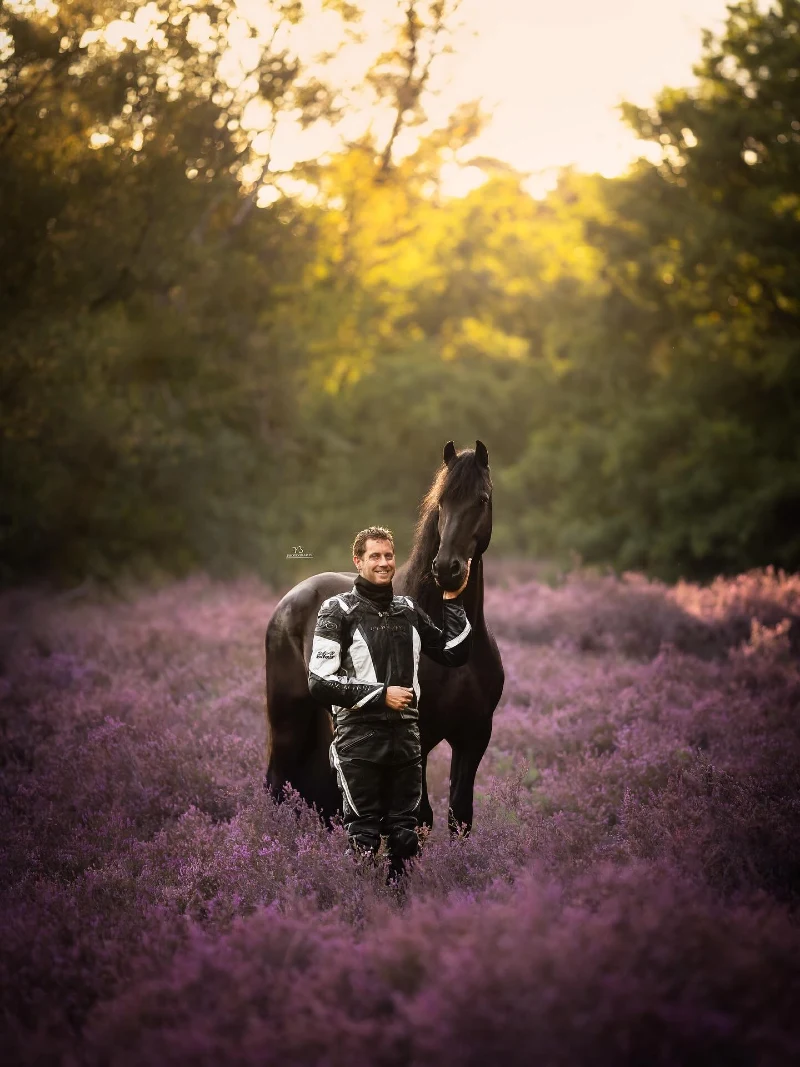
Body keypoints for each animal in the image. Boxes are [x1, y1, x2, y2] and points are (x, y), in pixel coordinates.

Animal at [264, 439, 505, 833]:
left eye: (482, 499)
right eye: (442, 501)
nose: (447, 569)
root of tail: (289, 601)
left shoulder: (473, 738)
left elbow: (460, 817)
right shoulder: (418, 739)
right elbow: (419, 818)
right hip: (288, 721)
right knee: (276, 786)